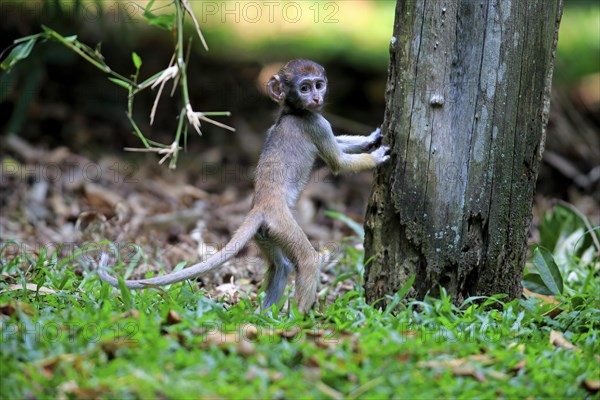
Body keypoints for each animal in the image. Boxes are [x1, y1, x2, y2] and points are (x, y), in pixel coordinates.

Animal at [97, 59, 390, 312]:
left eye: (319, 84)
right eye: (305, 87)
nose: (316, 98)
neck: (291, 110)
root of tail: (260, 206)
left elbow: (340, 146)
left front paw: (370, 138)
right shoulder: (315, 123)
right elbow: (338, 162)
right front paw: (377, 155)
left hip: (265, 233)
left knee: (282, 265)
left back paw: (266, 316)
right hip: (281, 223)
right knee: (307, 261)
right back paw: (300, 320)